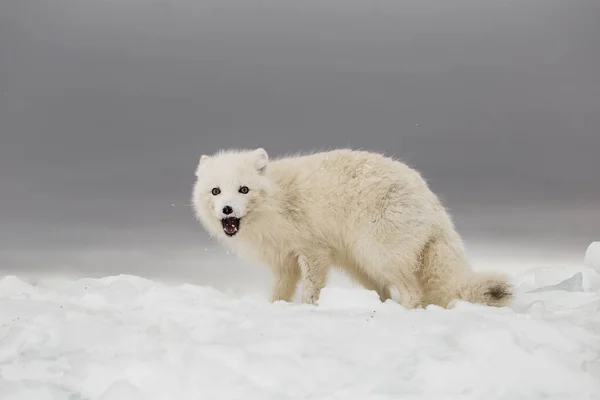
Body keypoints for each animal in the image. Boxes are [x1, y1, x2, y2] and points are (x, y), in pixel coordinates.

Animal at [192, 148, 510, 308]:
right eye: (216, 191)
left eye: (243, 190)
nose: (227, 210)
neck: (277, 202)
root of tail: (434, 205)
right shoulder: (284, 263)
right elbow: (279, 293)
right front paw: (276, 310)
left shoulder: (313, 250)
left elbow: (311, 289)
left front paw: (309, 310)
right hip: (361, 266)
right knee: (385, 291)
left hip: (379, 254)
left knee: (412, 293)